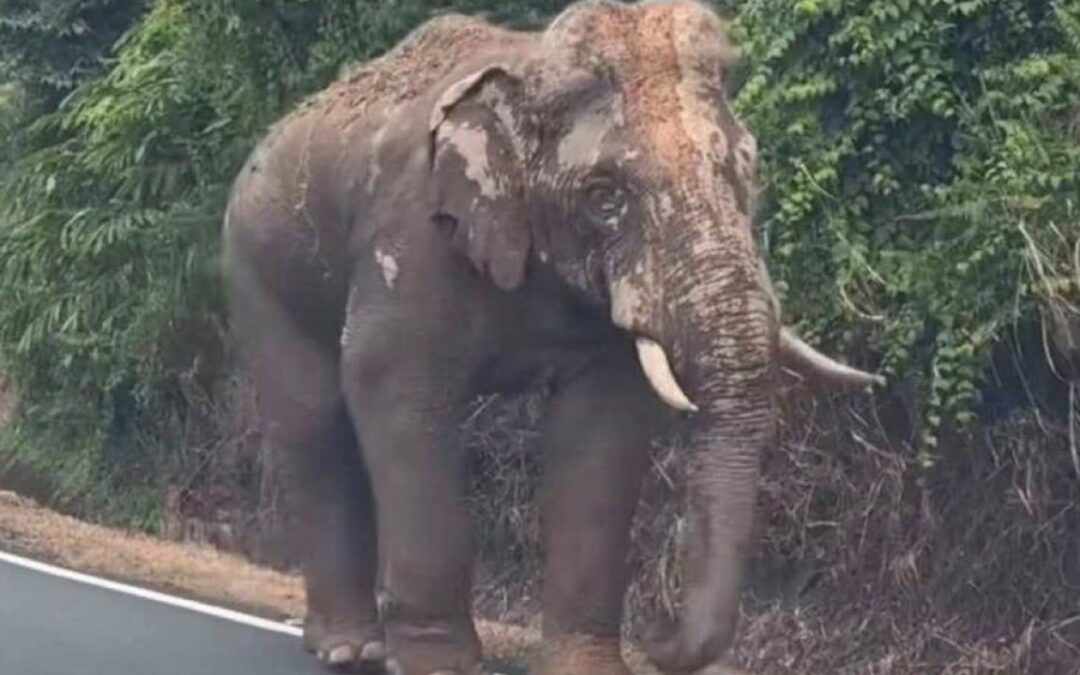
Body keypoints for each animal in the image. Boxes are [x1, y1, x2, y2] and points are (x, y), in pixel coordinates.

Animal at [223, 1, 882, 674]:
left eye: (749, 168)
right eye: (604, 197)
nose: (655, 633)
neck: (529, 69)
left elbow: (601, 428)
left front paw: (588, 667)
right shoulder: (410, 235)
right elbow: (392, 385)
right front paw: (442, 665)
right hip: (257, 269)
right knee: (313, 424)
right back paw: (349, 648)